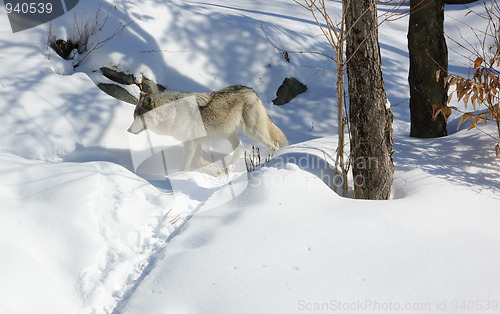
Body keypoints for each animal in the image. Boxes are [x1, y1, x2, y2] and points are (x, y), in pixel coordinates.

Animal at [127, 84, 288, 175]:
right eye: (133, 116)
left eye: (139, 117)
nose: (128, 130)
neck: (173, 113)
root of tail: (251, 90)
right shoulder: (195, 143)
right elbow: (199, 162)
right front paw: (216, 170)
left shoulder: (191, 143)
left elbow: (184, 167)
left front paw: (179, 178)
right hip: (230, 134)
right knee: (240, 148)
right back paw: (229, 168)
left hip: (253, 131)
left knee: (274, 145)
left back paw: (270, 161)